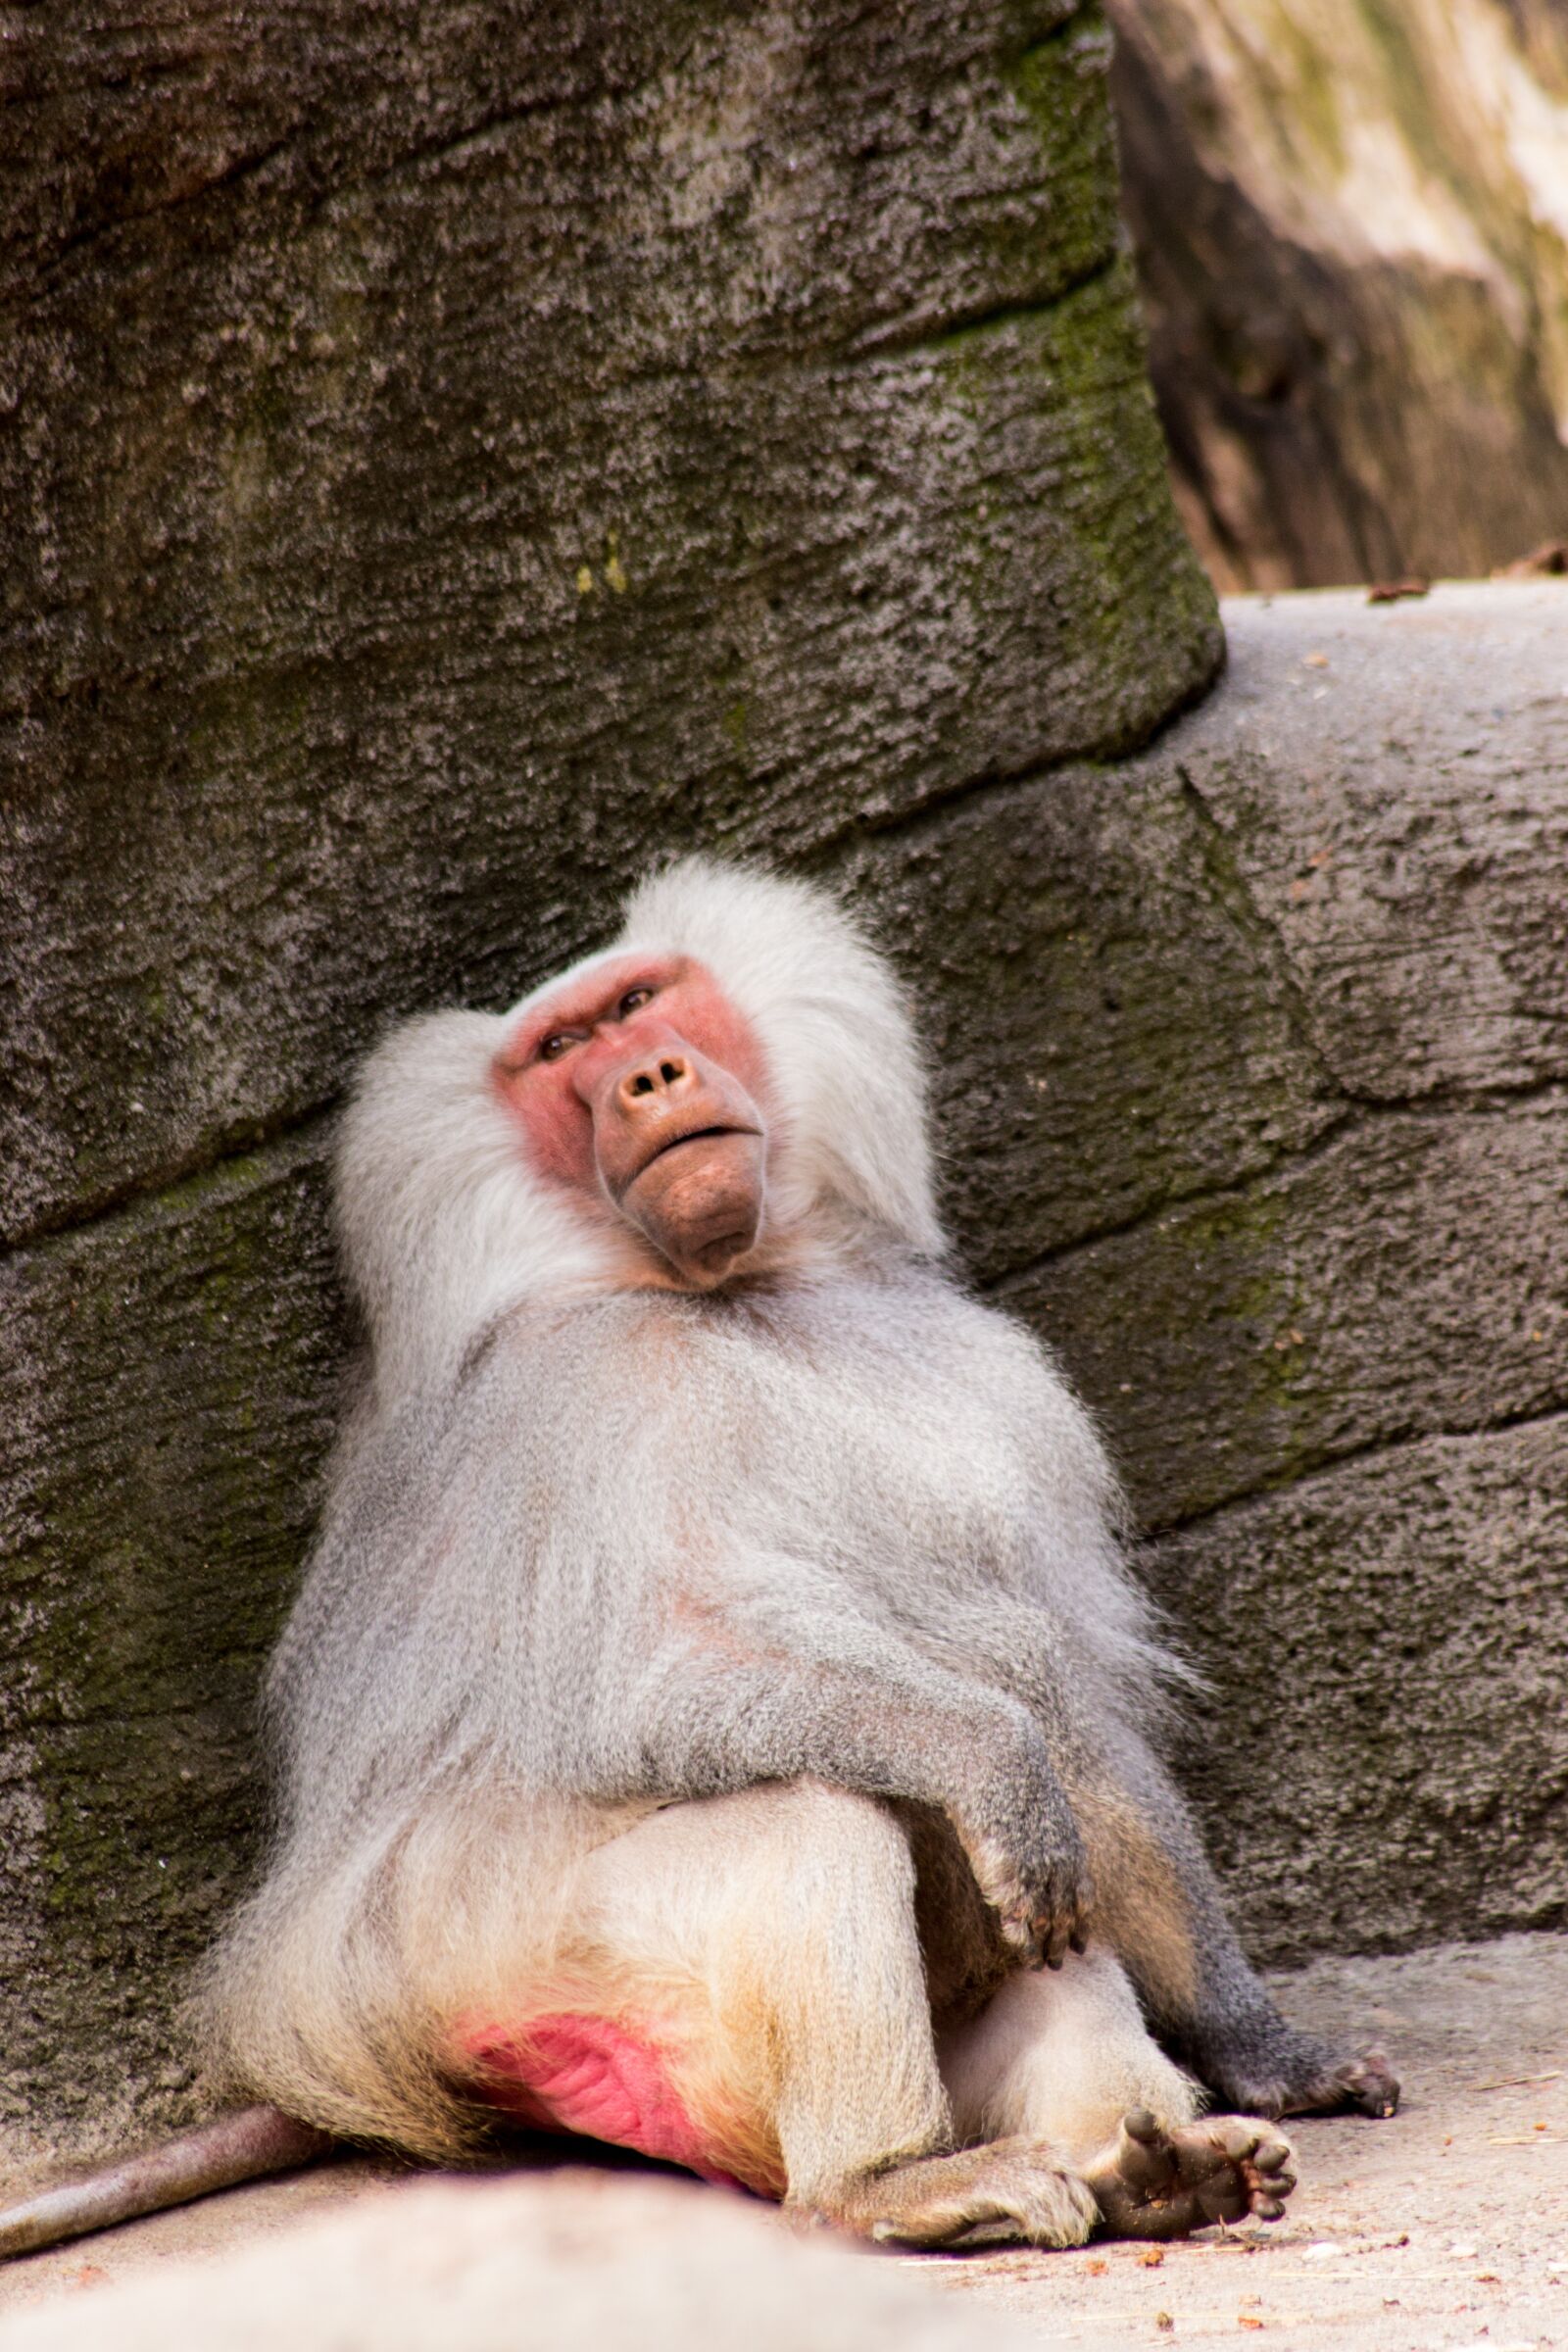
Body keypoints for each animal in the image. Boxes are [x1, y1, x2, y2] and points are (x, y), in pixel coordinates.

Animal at [0, 857, 1396, 2263]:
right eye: (561, 1051)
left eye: (639, 1004)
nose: (650, 1078)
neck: (734, 1294)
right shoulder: (589, 1408)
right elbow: (663, 1682)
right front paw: (987, 1762)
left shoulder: (991, 1396)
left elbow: (1081, 1715)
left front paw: (1263, 2050)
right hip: (522, 1961)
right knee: (809, 1822)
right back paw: (898, 2184)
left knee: (1050, 1906)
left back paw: (1152, 2171)